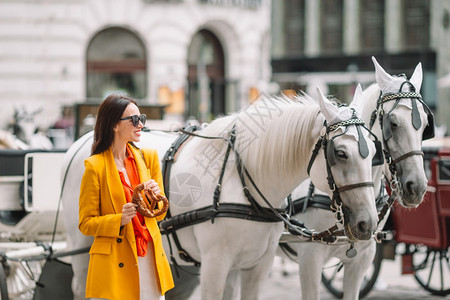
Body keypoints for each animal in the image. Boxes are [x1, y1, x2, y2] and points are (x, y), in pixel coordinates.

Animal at [59, 88, 376, 298]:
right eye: (340, 153)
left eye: (375, 152)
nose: (367, 224)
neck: (244, 181)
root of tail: (84, 140)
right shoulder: (215, 266)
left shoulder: (256, 266)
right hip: (83, 245)